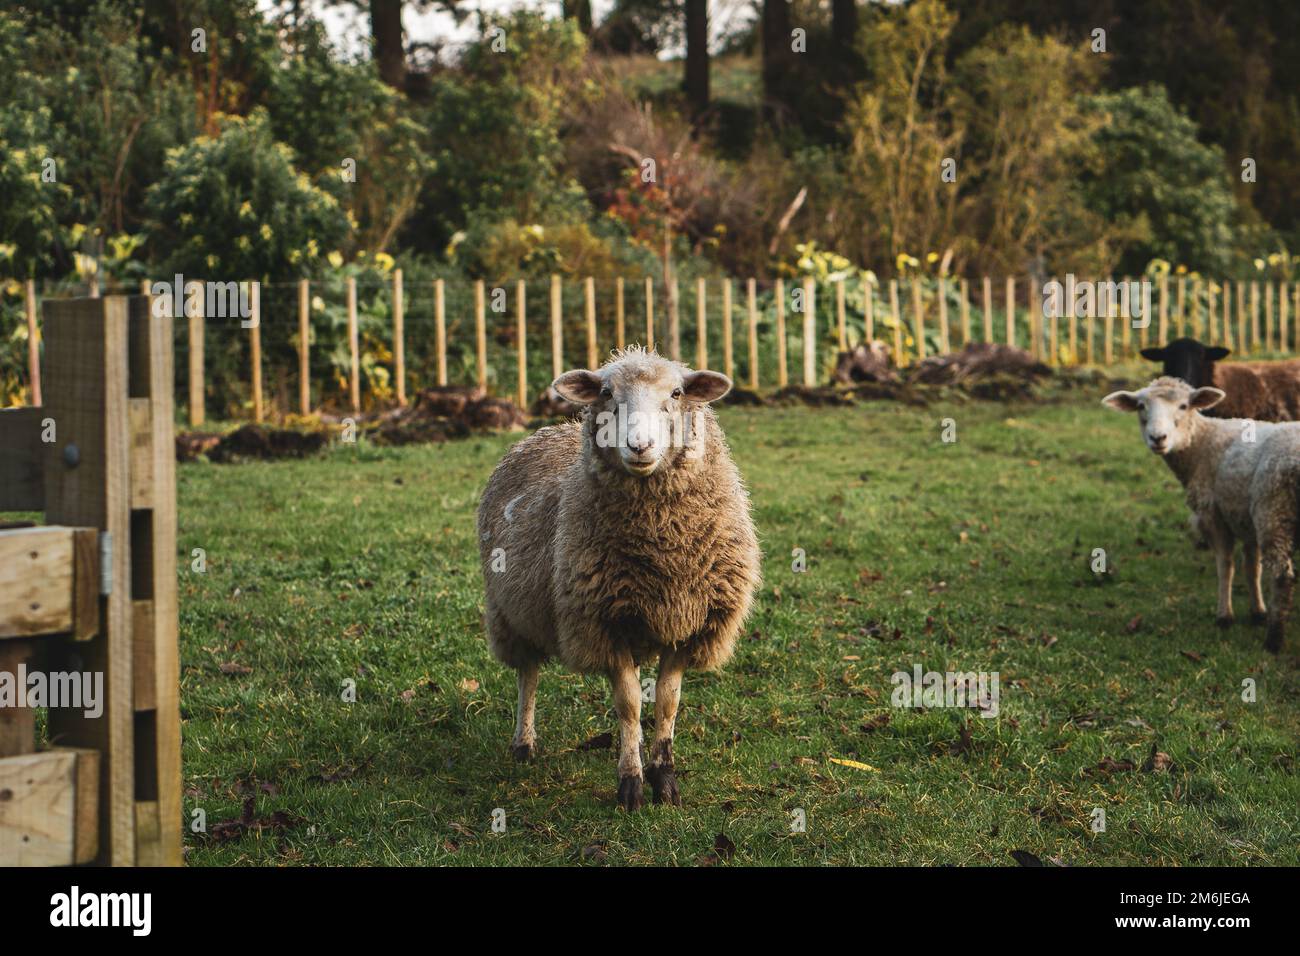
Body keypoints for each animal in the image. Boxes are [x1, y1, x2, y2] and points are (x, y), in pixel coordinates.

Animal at [476, 347, 762, 810]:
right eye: (607, 393)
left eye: (677, 393)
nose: (639, 446)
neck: (662, 545)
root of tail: (547, 430)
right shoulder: (602, 624)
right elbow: (628, 705)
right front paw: (630, 782)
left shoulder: (688, 622)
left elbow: (666, 703)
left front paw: (663, 777)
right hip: (510, 613)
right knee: (527, 676)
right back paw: (523, 743)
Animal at [1103, 376, 1300, 653]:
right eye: (1141, 406)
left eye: (1184, 406)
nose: (1158, 438)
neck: (1202, 443)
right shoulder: (1245, 518)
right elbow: (1252, 567)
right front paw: (1258, 612)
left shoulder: (1214, 515)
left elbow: (1226, 566)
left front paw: (1225, 616)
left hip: (1274, 511)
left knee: (1282, 578)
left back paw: (1274, 640)